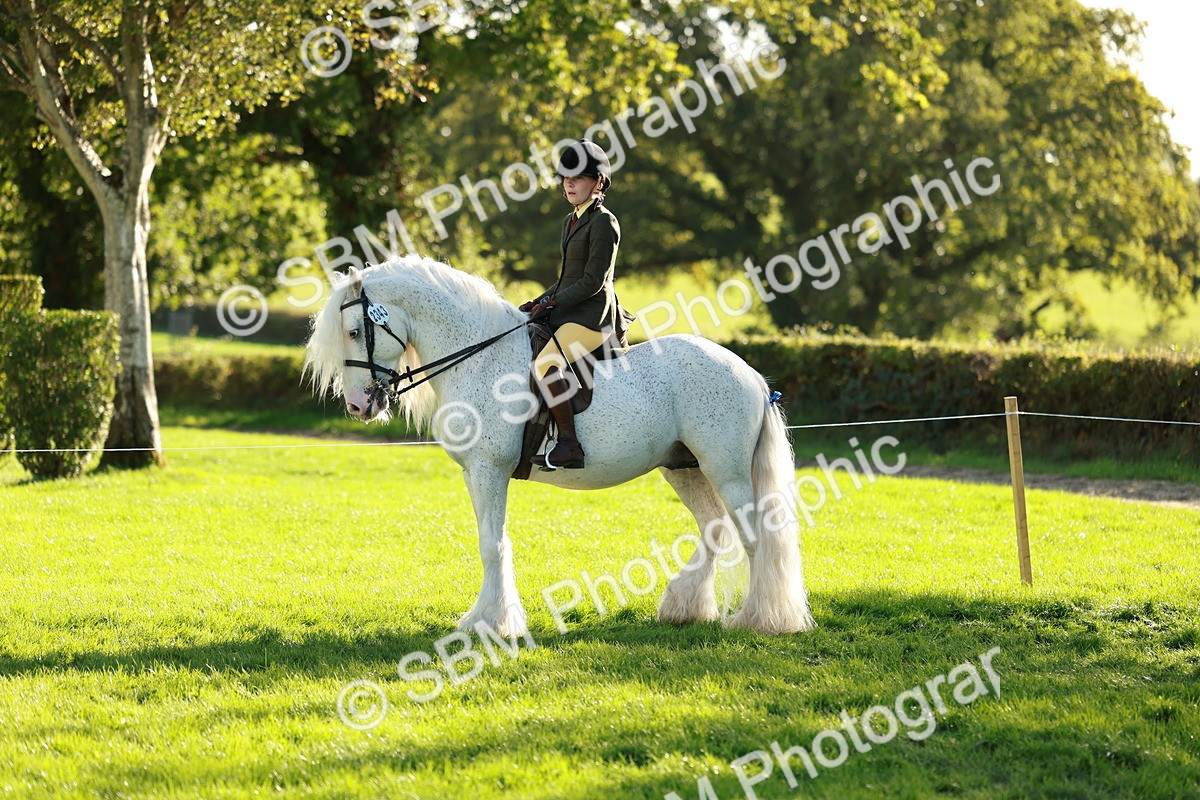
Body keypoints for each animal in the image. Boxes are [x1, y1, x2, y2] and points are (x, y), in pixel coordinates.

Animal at [304, 255, 815, 637]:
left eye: (354, 332)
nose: (358, 405)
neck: (480, 355)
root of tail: (748, 373)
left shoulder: (488, 469)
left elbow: (492, 545)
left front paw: (492, 624)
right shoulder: (476, 473)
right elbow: (491, 541)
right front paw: (487, 618)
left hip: (725, 468)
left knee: (754, 535)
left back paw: (761, 619)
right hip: (683, 467)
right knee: (714, 528)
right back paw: (684, 608)